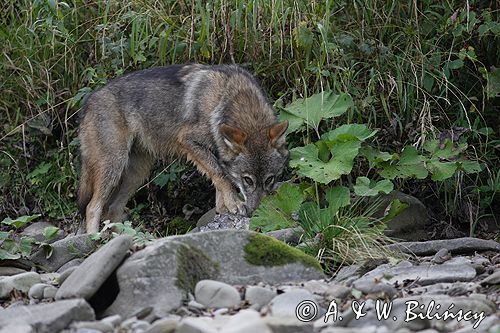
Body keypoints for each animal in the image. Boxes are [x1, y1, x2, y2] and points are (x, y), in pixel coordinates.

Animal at [78, 63, 290, 232]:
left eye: (269, 179)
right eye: (247, 180)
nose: (254, 212)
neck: (229, 99)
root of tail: (88, 101)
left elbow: (219, 181)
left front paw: (223, 209)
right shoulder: (188, 141)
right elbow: (221, 175)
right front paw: (234, 204)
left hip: (137, 174)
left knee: (113, 209)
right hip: (114, 166)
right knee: (92, 207)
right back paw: (95, 239)